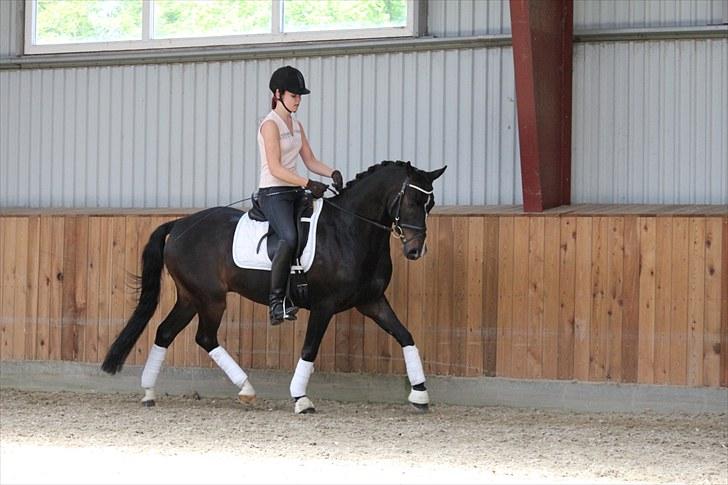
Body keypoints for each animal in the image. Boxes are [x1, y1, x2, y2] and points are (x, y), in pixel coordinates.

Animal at [100, 160, 446, 412]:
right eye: (412, 200)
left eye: (429, 204)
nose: (415, 251)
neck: (349, 230)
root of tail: (180, 224)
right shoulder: (324, 306)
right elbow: (309, 349)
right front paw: (301, 399)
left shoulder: (371, 301)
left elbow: (405, 336)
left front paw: (420, 394)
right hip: (210, 299)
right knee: (204, 337)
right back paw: (246, 388)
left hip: (189, 297)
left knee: (165, 332)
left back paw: (149, 392)